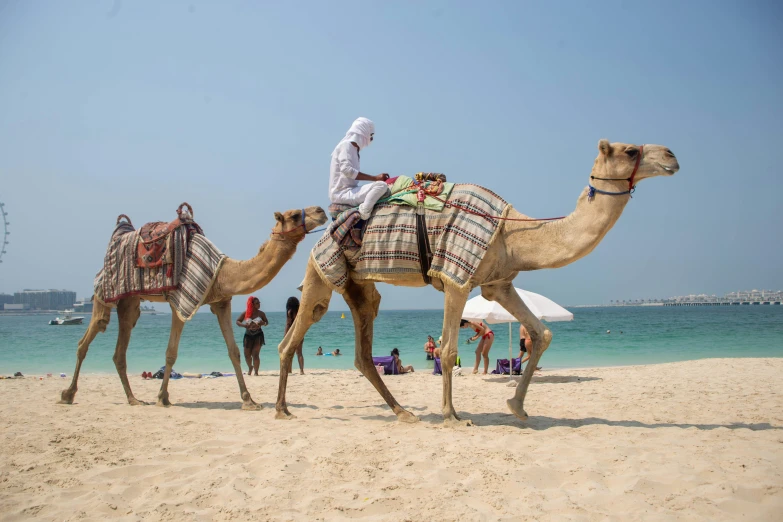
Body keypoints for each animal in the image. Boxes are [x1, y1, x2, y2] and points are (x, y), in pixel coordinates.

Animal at [58, 205, 326, 408]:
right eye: (294, 215)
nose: (321, 211)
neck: (223, 272)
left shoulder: (221, 302)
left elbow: (234, 352)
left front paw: (249, 401)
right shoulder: (181, 301)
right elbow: (171, 353)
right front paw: (162, 398)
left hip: (130, 302)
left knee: (118, 345)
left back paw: (129, 398)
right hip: (106, 293)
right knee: (91, 335)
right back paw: (72, 395)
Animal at [276, 139, 680, 422]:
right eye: (631, 150)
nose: (672, 156)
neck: (511, 233)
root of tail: (327, 231)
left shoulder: (498, 283)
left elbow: (541, 333)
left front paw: (517, 406)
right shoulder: (457, 279)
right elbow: (446, 349)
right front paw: (452, 417)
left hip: (359, 286)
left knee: (362, 349)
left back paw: (403, 412)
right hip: (321, 271)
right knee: (296, 332)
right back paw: (282, 409)